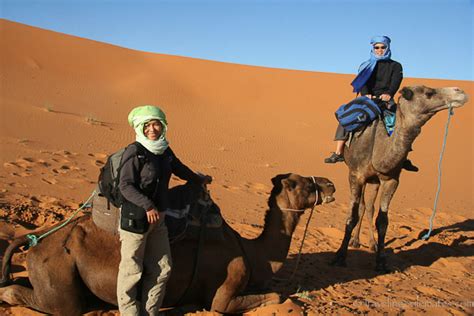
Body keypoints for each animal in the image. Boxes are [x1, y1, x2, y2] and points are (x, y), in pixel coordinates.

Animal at [0, 174, 336, 314]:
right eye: (304, 183)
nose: (331, 184)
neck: (253, 253)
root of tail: (36, 239)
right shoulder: (224, 294)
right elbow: (275, 296)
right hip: (59, 276)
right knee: (40, 299)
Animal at [332, 86, 468, 272]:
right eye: (429, 92)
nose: (459, 91)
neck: (378, 148)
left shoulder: (391, 180)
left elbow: (382, 221)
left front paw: (381, 261)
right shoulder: (356, 176)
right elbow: (351, 216)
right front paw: (340, 256)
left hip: (374, 181)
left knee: (369, 207)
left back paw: (371, 243)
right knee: (362, 206)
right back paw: (355, 241)